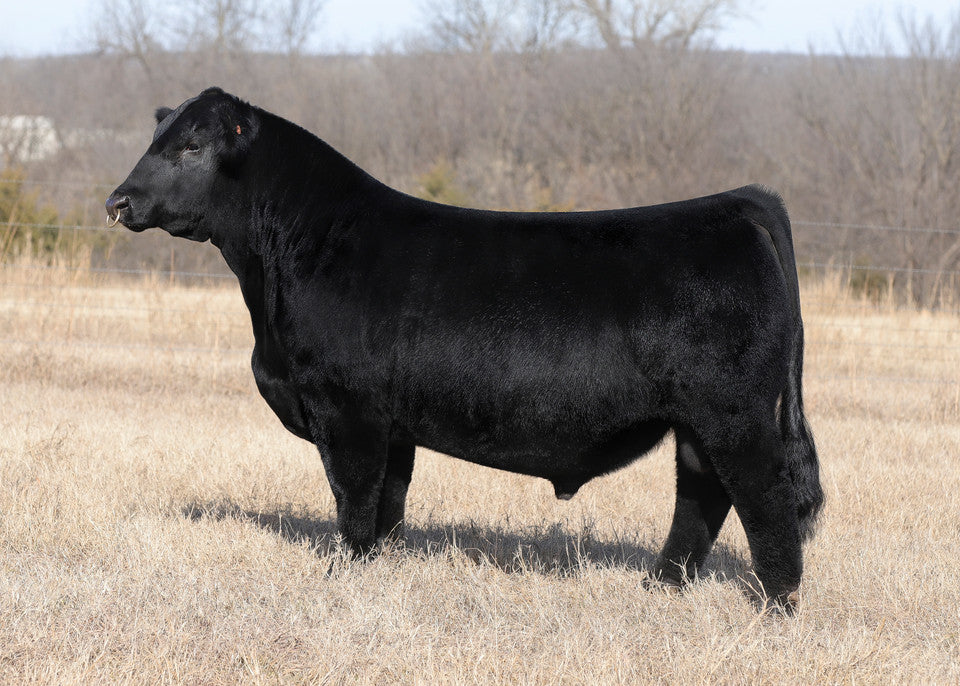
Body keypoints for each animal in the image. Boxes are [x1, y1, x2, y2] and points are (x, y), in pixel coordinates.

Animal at [106, 87, 823, 610]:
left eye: (191, 147)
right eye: (155, 141)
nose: (118, 200)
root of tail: (736, 202)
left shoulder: (347, 410)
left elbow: (355, 498)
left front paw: (344, 574)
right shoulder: (391, 422)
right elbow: (389, 500)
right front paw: (378, 567)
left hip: (734, 414)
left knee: (766, 497)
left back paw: (777, 606)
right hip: (700, 423)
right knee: (702, 495)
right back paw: (660, 586)